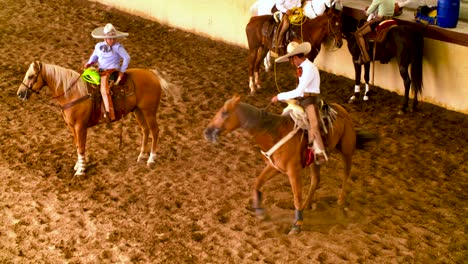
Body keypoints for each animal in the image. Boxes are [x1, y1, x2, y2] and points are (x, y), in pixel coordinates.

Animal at [17, 61, 174, 176]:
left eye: (31, 76)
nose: (19, 93)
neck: (72, 93)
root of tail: (153, 75)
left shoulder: (80, 127)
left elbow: (81, 147)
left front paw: (80, 171)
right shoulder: (72, 127)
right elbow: (77, 145)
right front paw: (78, 166)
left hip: (149, 111)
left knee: (155, 131)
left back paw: (151, 159)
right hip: (138, 111)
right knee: (145, 130)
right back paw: (141, 156)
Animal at [205, 96, 376, 234]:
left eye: (224, 113)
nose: (207, 132)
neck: (274, 132)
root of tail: (342, 110)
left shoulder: (293, 172)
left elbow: (296, 196)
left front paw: (297, 225)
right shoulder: (274, 167)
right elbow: (257, 183)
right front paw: (260, 210)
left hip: (347, 150)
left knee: (346, 174)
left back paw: (340, 202)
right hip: (315, 161)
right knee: (316, 180)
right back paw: (307, 205)